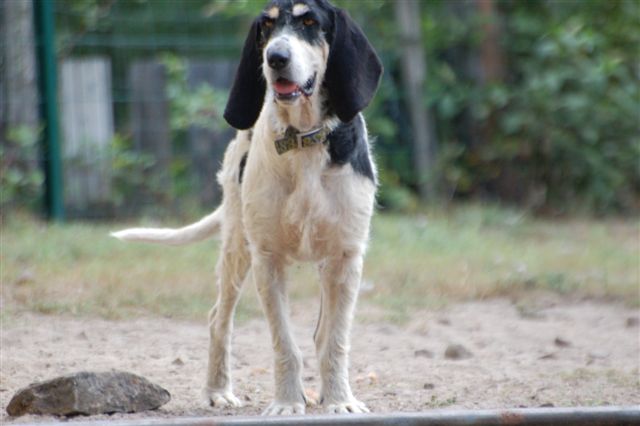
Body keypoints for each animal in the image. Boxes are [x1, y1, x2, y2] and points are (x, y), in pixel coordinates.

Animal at [112, 0, 382, 414]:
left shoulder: (345, 258)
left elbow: (334, 342)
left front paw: (339, 401)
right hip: (237, 247)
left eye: (309, 21)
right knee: (218, 320)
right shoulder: (267, 259)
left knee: (320, 335)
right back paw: (217, 391)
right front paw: (287, 402)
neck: (302, 140)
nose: (276, 57)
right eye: (266, 28)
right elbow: (284, 343)